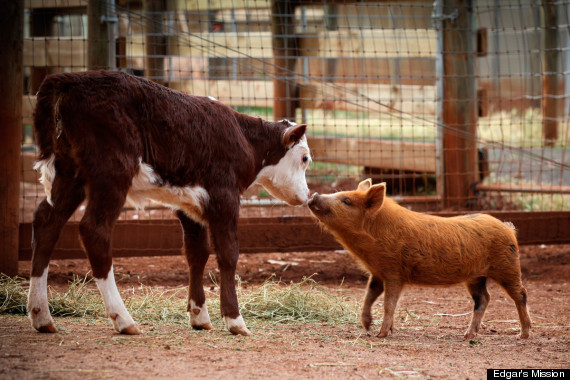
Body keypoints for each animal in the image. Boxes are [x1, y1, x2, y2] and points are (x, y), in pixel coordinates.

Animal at [28, 70, 310, 336]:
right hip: (111, 174)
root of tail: (67, 81)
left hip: (69, 173)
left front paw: (199, 315)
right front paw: (235, 320)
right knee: (94, 230)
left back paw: (41, 315)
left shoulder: (189, 204)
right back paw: (123, 319)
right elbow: (228, 254)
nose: (307, 195)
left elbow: (197, 253)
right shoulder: (225, 197)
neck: (243, 138)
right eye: (305, 158)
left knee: (46, 222)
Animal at [308, 180, 532, 340]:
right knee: (483, 299)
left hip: (507, 267)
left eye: (346, 201)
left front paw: (381, 334)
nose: (314, 195)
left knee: (521, 294)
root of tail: (508, 228)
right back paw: (467, 336)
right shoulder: (377, 273)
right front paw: (367, 326)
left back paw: (523, 335)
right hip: (475, 277)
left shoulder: (393, 272)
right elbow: (369, 296)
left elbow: (389, 303)